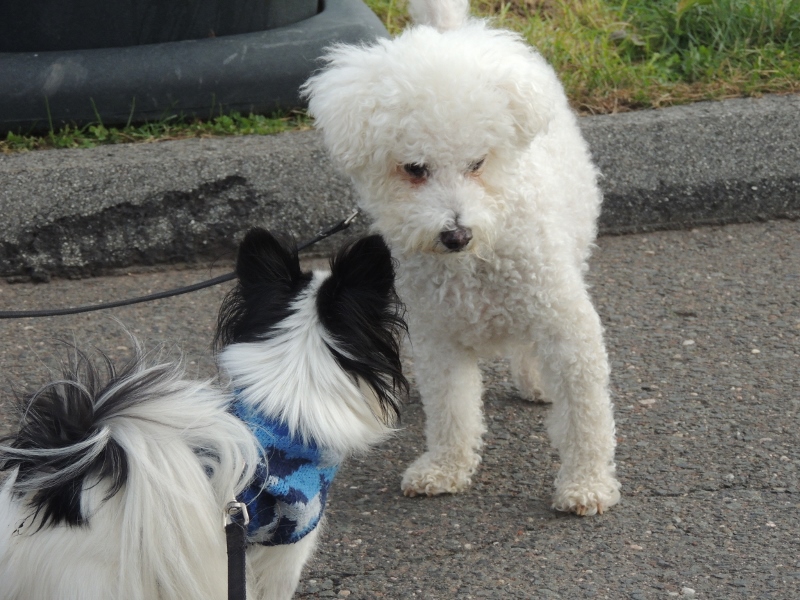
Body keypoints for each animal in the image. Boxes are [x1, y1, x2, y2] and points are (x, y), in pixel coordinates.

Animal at [304, 0, 620, 516]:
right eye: (414, 168)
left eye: (478, 163)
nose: (456, 234)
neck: (478, 255)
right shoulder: (439, 336)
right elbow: (452, 408)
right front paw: (445, 468)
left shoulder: (565, 322)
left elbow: (585, 411)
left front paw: (586, 483)